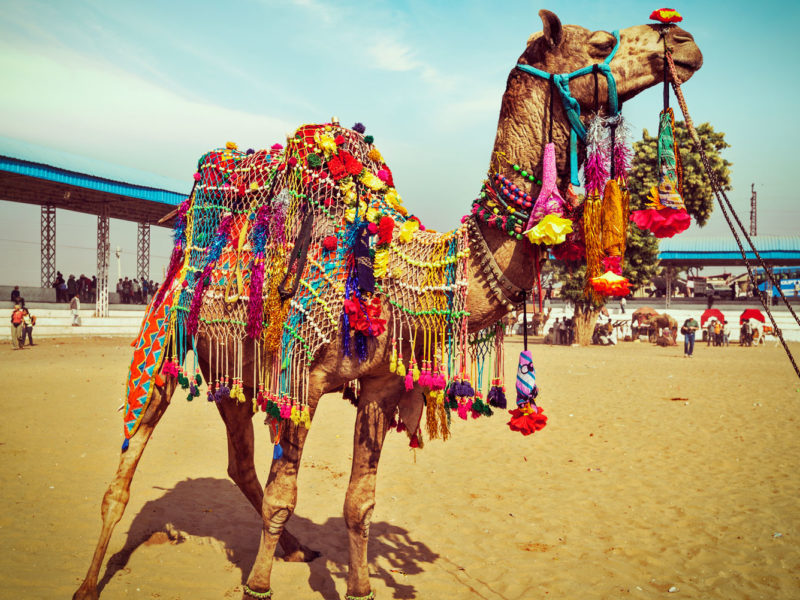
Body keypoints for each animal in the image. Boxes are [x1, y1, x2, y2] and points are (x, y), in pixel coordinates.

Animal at [75, 10, 700, 600]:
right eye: (600, 42)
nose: (682, 40)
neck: (394, 268)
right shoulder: (302, 379)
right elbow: (285, 494)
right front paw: (257, 586)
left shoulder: (379, 384)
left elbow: (359, 501)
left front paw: (358, 586)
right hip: (166, 332)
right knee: (133, 452)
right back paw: (88, 582)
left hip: (234, 366)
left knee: (238, 460)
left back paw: (297, 548)